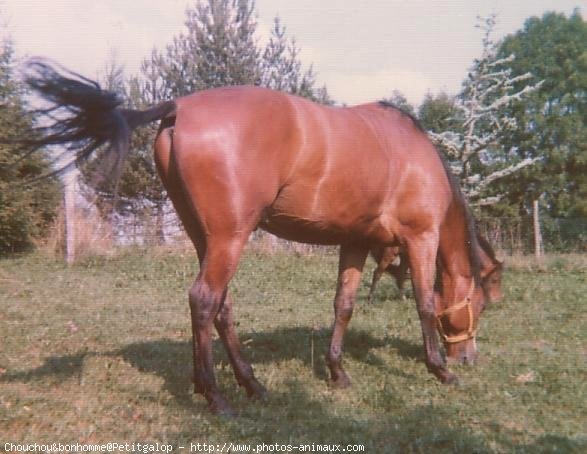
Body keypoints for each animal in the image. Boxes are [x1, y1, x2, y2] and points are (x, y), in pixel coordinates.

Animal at [370, 232, 504, 304]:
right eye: (494, 280)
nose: (497, 300)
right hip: (390, 254)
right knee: (377, 273)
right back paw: (370, 299)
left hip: (406, 257)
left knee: (400, 276)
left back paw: (403, 299)